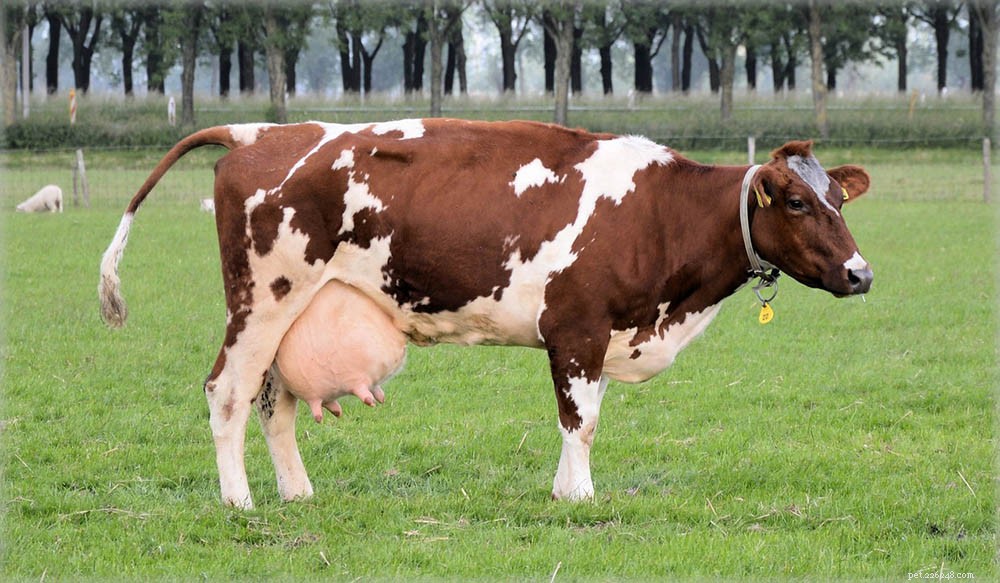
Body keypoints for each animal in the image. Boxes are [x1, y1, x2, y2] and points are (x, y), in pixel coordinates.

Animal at [99, 119, 873, 509]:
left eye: (839, 197)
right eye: (796, 202)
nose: (861, 273)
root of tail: (263, 130)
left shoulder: (596, 334)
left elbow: (584, 418)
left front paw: (563, 490)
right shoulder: (578, 328)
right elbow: (580, 421)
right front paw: (579, 497)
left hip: (294, 312)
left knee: (274, 401)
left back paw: (298, 492)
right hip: (261, 299)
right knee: (227, 392)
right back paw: (240, 501)